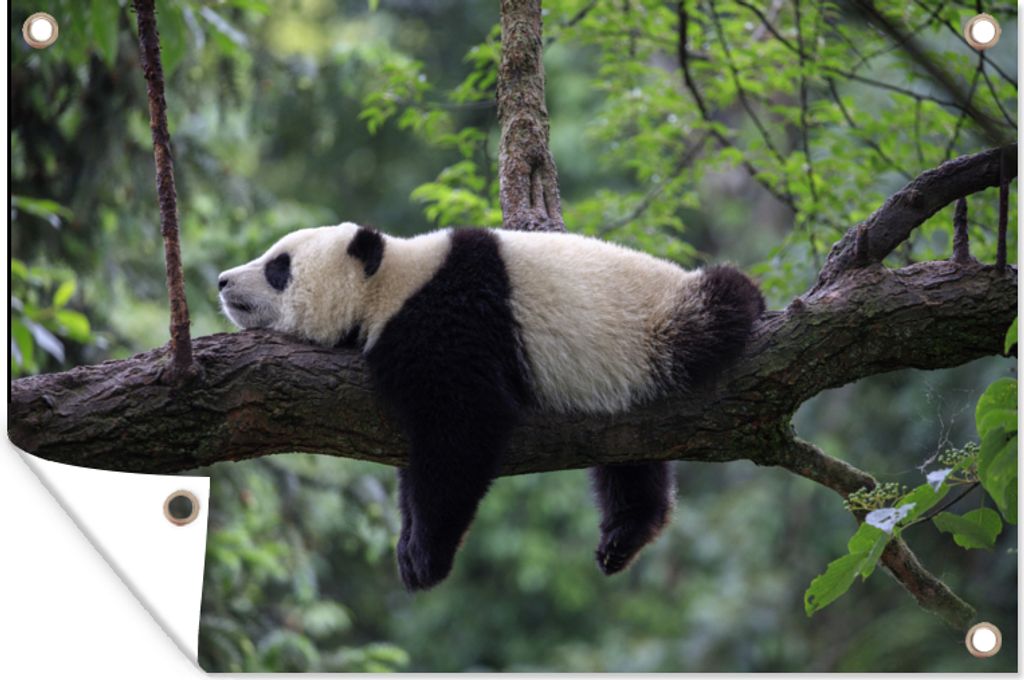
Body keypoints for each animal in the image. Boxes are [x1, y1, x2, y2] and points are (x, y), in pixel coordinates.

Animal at [218, 222, 764, 591]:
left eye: (278, 267)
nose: (223, 280)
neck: (392, 282)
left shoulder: (450, 322)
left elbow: (462, 430)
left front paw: (424, 557)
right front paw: (408, 543)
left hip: (659, 325)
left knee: (720, 304)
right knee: (630, 459)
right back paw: (625, 535)